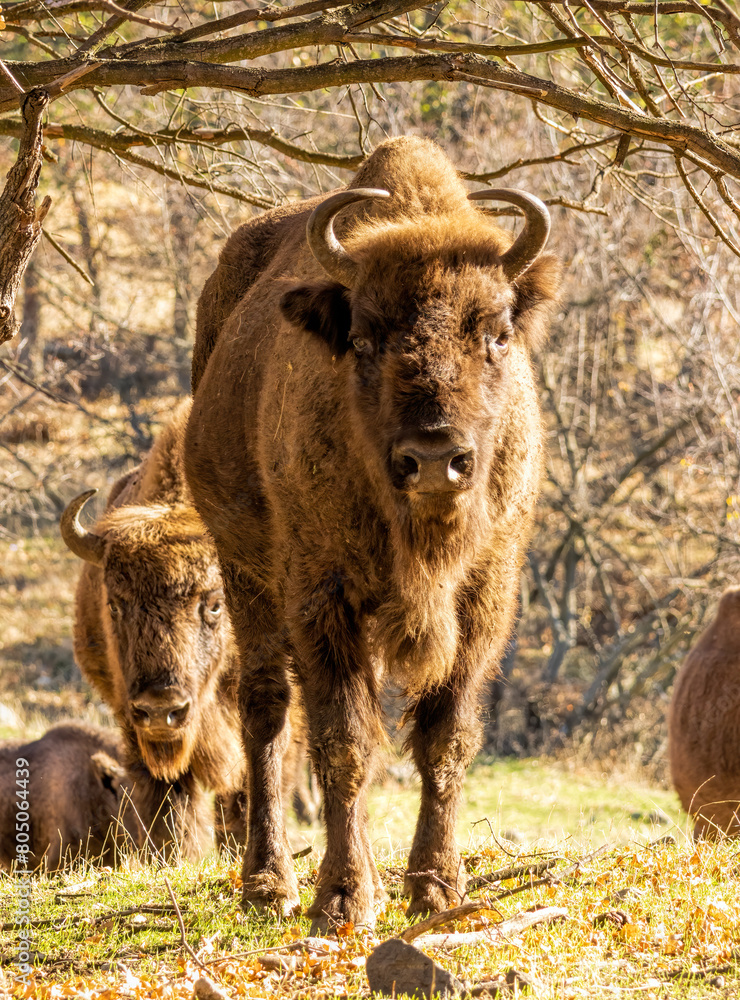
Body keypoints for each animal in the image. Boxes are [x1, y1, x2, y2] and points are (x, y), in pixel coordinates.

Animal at [186, 136, 561, 928]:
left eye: (497, 333)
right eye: (361, 338)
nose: (434, 457)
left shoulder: (485, 598)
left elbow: (446, 737)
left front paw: (436, 886)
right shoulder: (322, 598)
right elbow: (343, 740)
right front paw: (343, 898)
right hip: (245, 575)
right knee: (265, 709)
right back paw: (268, 884)